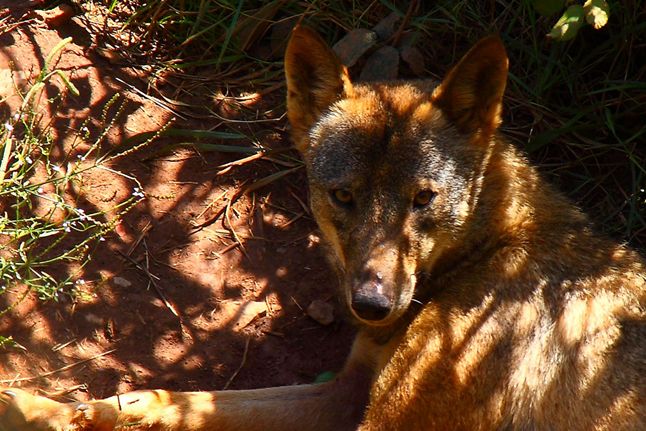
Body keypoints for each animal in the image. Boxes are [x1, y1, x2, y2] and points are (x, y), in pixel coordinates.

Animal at [1, 26, 646, 431]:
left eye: (422, 199)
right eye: (344, 196)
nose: (371, 305)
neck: (489, 252)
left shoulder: (384, 417)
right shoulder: (344, 393)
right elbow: (171, 399)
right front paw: (36, 411)